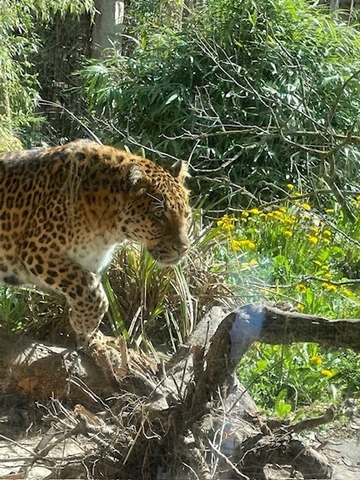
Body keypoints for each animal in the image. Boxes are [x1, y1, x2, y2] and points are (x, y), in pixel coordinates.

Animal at [0, 139, 191, 344]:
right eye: (158, 214)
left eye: (186, 215)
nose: (183, 249)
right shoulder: (38, 251)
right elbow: (94, 294)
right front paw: (84, 324)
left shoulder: (90, 264)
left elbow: (90, 290)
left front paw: (92, 339)